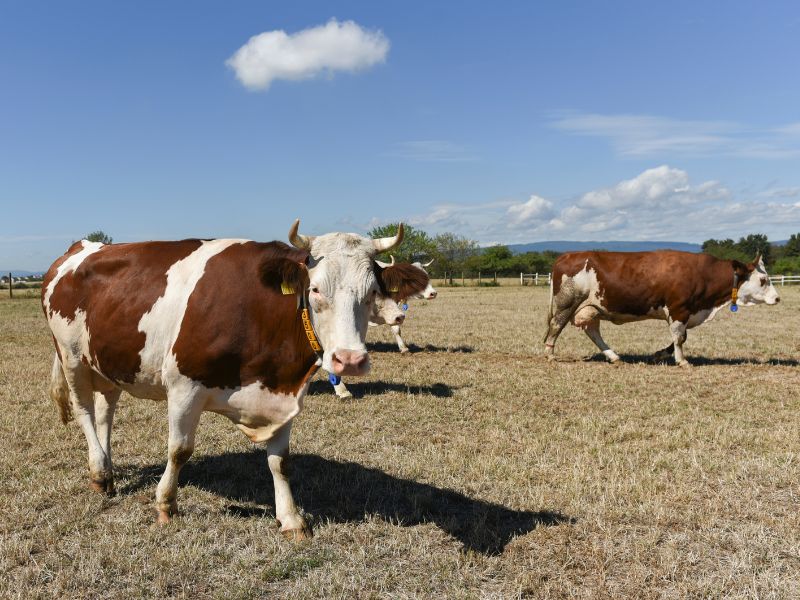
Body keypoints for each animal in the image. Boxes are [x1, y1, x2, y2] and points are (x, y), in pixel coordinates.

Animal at [42, 220, 424, 540]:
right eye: (315, 289)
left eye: (373, 291)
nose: (350, 360)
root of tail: (81, 247)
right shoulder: (183, 386)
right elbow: (180, 450)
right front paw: (166, 504)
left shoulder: (284, 395)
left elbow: (280, 462)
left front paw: (291, 518)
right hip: (72, 357)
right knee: (84, 411)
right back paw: (99, 472)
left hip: (108, 362)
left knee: (105, 412)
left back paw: (107, 469)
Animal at [544, 250, 780, 366]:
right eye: (763, 279)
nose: (777, 298)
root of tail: (567, 256)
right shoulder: (679, 310)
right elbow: (680, 337)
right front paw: (682, 360)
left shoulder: (684, 313)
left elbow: (680, 338)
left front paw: (659, 355)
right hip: (567, 303)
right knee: (556, 325)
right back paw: (550, 354)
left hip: (592, 308)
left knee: (592, 331)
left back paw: (613, 356)